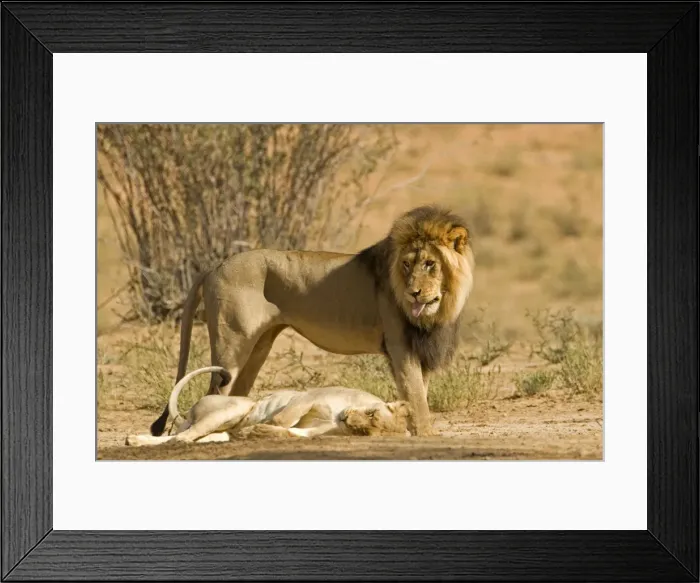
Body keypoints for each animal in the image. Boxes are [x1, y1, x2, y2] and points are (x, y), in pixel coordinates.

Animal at [127, 366, 413, 446]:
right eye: (371, 413)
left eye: (362, 432)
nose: (347, 421)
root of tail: (187, 413)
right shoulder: (307, 397)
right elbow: (282, 419)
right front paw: (258, 429)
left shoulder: (312, 431)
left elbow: (289, 432)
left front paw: (257, 433)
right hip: (236, 407)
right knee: (182, 437)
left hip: (218, 429)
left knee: (186, 437)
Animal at [149, 205, 474, 437]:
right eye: (406, 264)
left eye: (430, 264)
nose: (413, 293)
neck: (440, 308)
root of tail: (214, 266)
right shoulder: (400, 346)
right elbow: (417, 399)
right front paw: (426, 435)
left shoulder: (420, 349)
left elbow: (419, 395)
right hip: (232, 346)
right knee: (215, 392)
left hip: (258, 347)